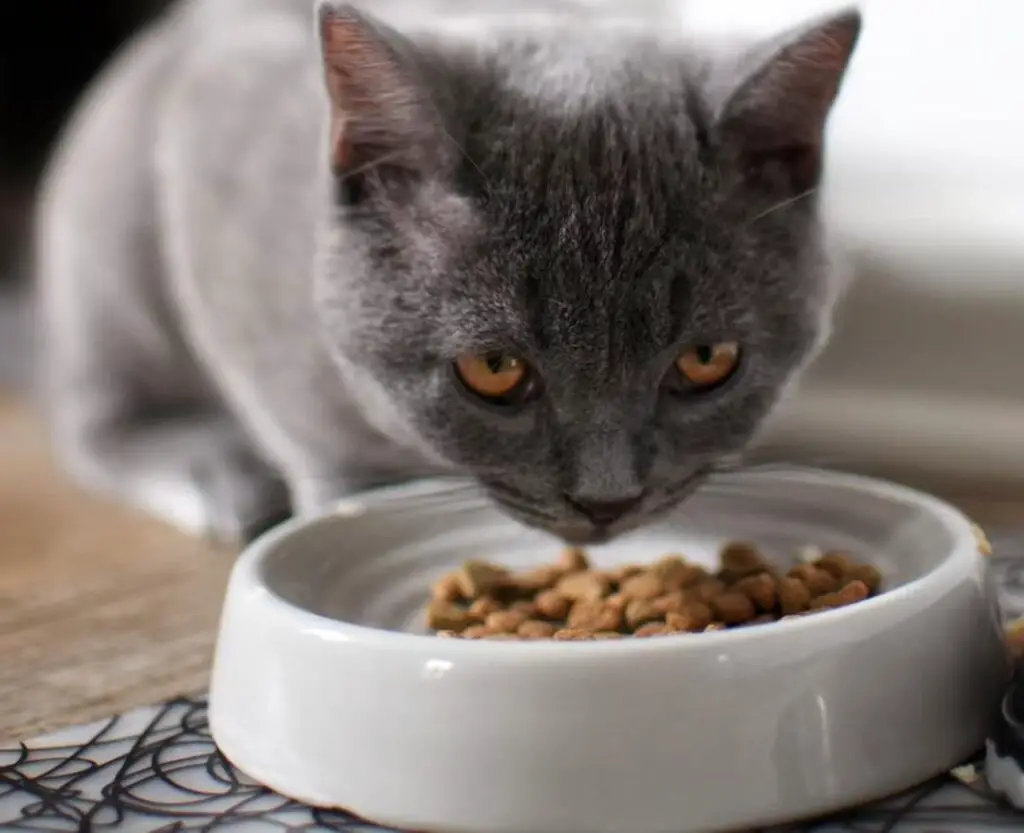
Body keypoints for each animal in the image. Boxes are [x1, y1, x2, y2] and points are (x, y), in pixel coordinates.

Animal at [36, 0, 860, 545]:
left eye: (706, 360)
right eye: (494, 370)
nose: (607, 501)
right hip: (112, 252)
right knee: (92, 417)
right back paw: (216, 477)